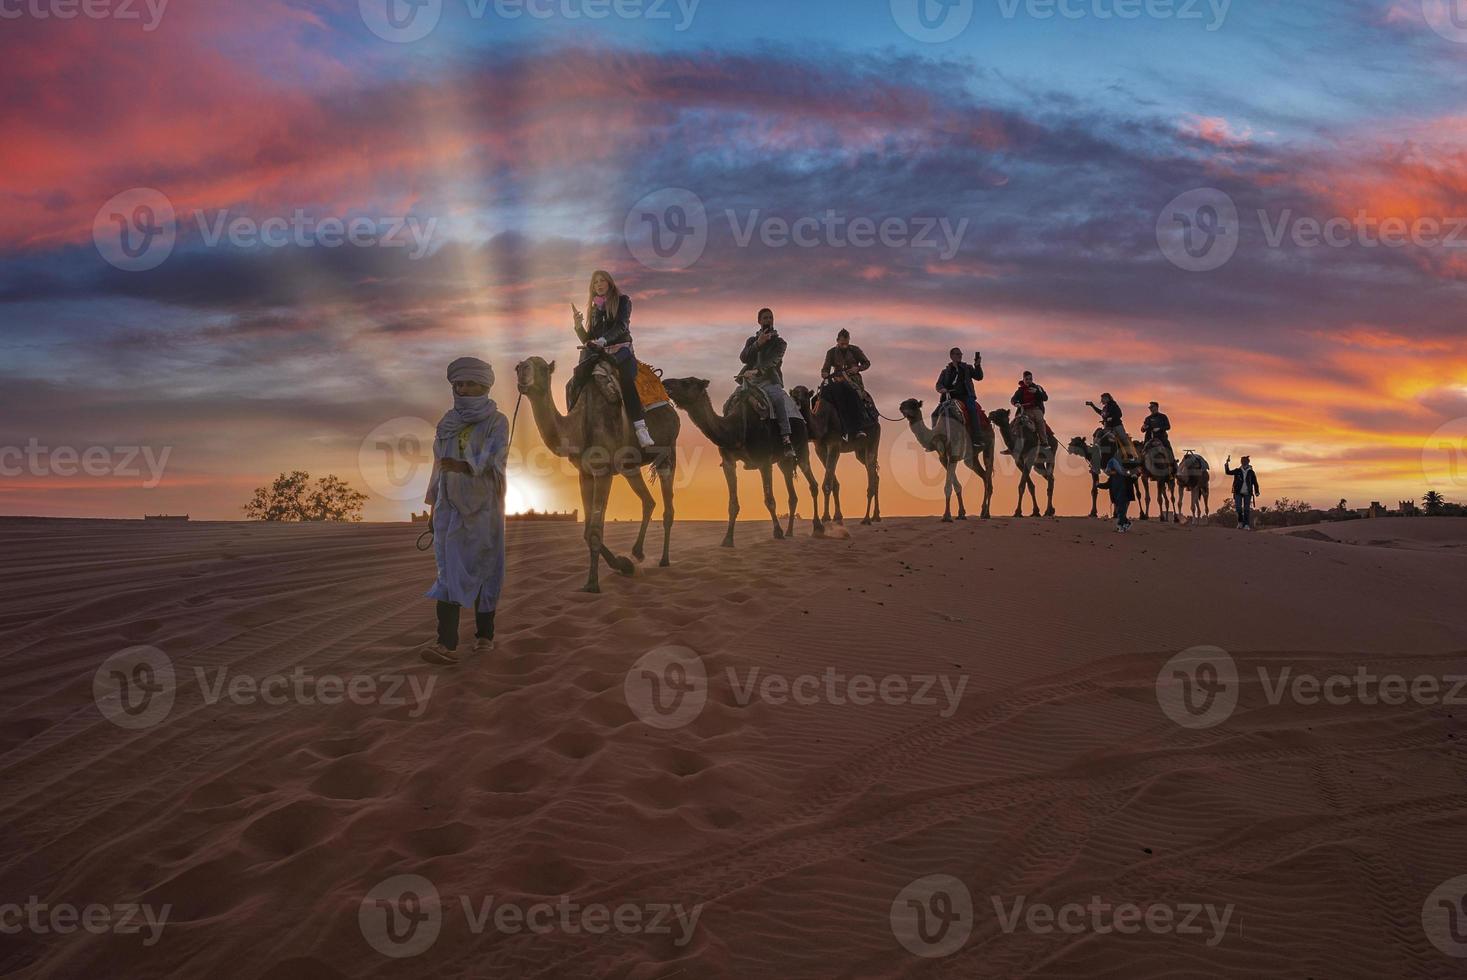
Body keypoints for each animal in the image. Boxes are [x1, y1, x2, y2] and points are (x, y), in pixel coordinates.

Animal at [513, 356, 677, 592]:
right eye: (519, 367)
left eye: (543, 369)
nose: (523, 373)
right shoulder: (585, 473)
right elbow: (587, 530)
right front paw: (624, 564)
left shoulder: (603, 471)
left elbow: (596, 530)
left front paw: (593, 583)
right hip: (629, 467)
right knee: (648, 501)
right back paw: (637, 552)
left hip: (667, 453)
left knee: (668, 507)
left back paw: (664, 559)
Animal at [666, 372, 827, 542]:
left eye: (687, 382)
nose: (665, 383)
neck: (737, 429)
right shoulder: (728, 462)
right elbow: (732, 504)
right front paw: (728, 539)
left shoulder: (764, 462)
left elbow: (769, 500)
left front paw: (777, 532)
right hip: (784, 461)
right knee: (792, 494)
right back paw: (790, 532)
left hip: (802, 447)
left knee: (812, 483)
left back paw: (818, 527)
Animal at [792, 381, 880, 525]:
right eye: (793, 393)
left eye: (805, 393)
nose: (796, 402)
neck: (823, 421)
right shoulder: (820, 449)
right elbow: (833, 484)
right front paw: (837, 516)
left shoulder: (834, 445)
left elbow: (827, 484)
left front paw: (825, 517)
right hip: (860, 451)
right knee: (874, 475)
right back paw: (876, 516)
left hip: (874, 439)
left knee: (872, 472)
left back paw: (867, 518)